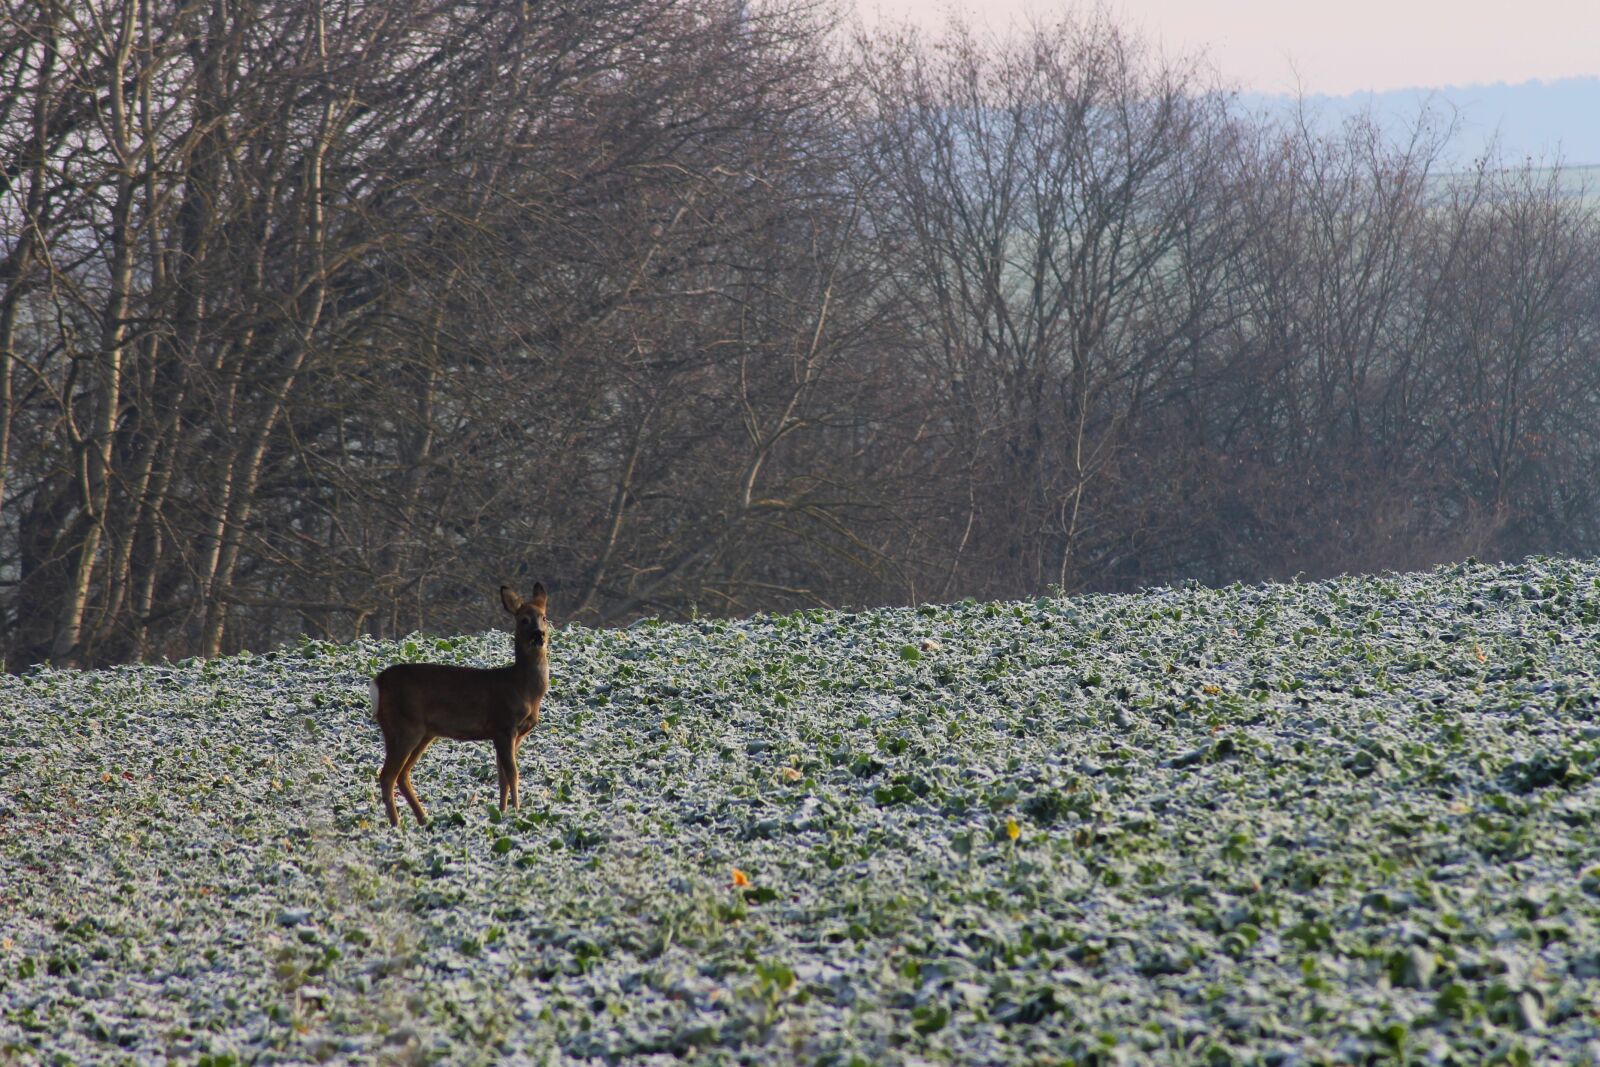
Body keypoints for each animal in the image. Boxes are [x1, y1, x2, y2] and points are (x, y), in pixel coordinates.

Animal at [370, 583, 550, 827]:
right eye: (524, 619)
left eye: (544, 617)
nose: (538, 634)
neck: (522, 688)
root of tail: (378, 681)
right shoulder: (504, 725)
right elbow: (513, 774)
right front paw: (517, 811)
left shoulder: (509, 734)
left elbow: (502, 776)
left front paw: (502, 812)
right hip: (404, 726)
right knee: (387, 775)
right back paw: (396, 825)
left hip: (423, 732)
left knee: (402, 774)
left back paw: (424, 819)